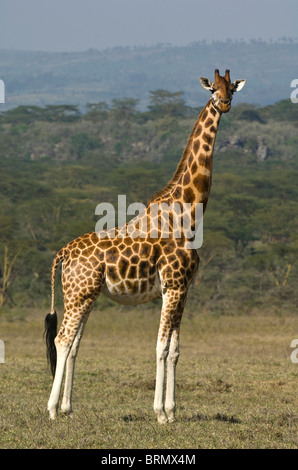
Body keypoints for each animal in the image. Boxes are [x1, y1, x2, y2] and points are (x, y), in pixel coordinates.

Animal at [43, 69, 244, 422]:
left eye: (231, 88)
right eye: (213, 89)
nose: (224, 103)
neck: (187, 212)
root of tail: (63, 253)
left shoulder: (182, 289)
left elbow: (175, 350)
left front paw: (173, 412)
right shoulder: (174, 286)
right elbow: (161, 347)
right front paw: (160, 413)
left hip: (84, 294)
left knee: (75, 342)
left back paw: (67, 408)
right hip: (79, 293)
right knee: (63, 339)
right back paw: (52, 410)